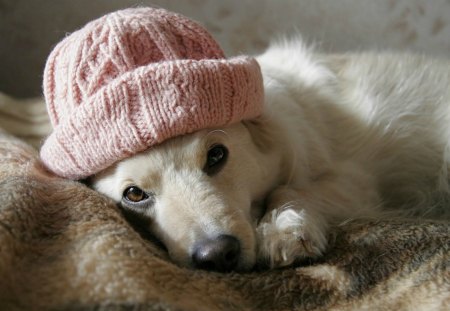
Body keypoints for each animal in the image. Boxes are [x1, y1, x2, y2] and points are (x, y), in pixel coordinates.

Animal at [90, 39, 450, 272]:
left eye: (217, 155)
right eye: (135, 194)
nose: (218, 256)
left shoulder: (355, 181)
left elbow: (290, 187)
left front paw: (283, 229)